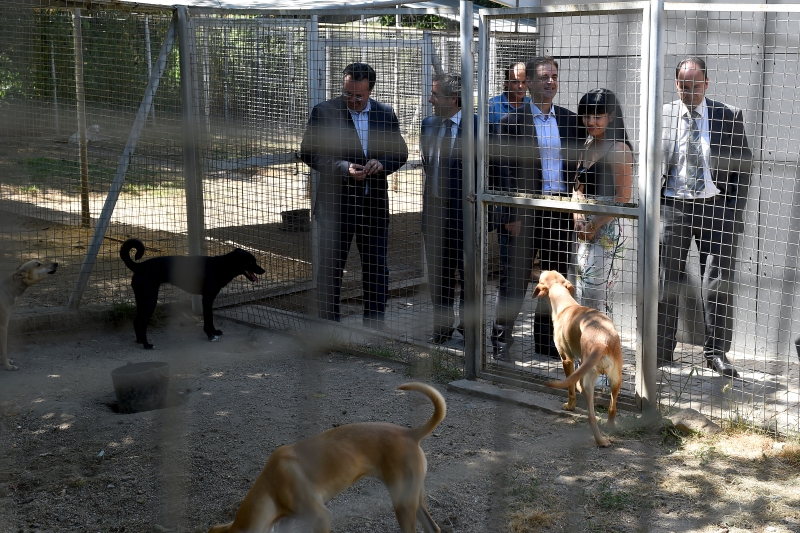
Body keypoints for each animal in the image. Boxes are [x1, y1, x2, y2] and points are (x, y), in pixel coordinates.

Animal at [120, 238, 266, 350]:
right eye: (251, 262)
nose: (263, 271)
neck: (221, 266)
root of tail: (139, 266)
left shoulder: (209, 299)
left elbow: (210, 317)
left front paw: (214, 332)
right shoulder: (207, 299)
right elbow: (208, 319)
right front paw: (210, 336)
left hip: (142, 299)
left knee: (136, 321)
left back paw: (139, 341)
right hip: (150, 300)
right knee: (141, 322)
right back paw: (146, 345)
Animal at [208, 380, 444, 532]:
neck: (271, 485)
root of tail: (410, 433)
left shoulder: (321, 518)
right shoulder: (287, 521)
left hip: (403, 502)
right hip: (414, 497)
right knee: (434, 528)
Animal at [532, 270, 624, 444]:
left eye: (543, 276)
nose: (540, 270)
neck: (566, 305)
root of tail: (602, 342)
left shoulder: (567, 359)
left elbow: (570, 388)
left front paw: (570, 406)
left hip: (589, 382)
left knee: (591, 416)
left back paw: (600, 441)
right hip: (616, 379)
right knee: (612, 408)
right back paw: (610, 427)